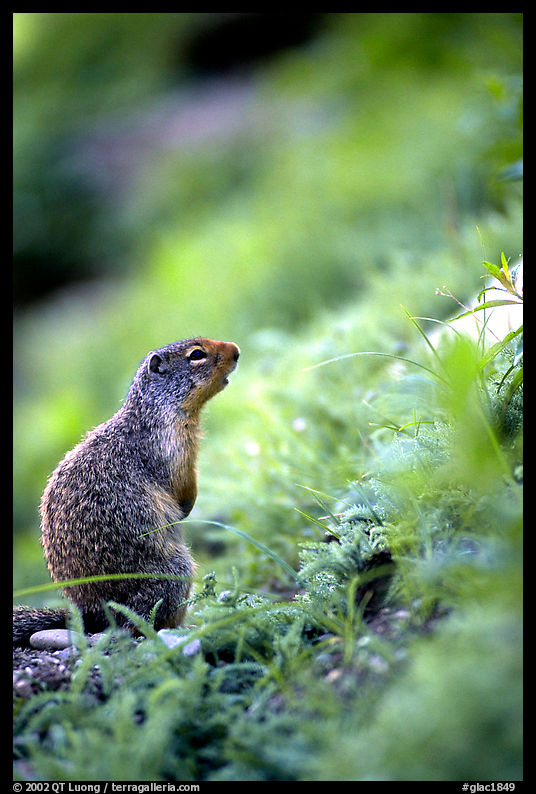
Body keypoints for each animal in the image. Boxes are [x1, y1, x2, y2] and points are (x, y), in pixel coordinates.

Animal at [13, 338, 240, 646]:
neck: (156, 411)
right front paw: (186, 506)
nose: (237, 350)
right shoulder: (173, 444)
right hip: (175, 570)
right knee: (144, 624)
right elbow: (181, 479)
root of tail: (93, 616)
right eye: (196, 354)